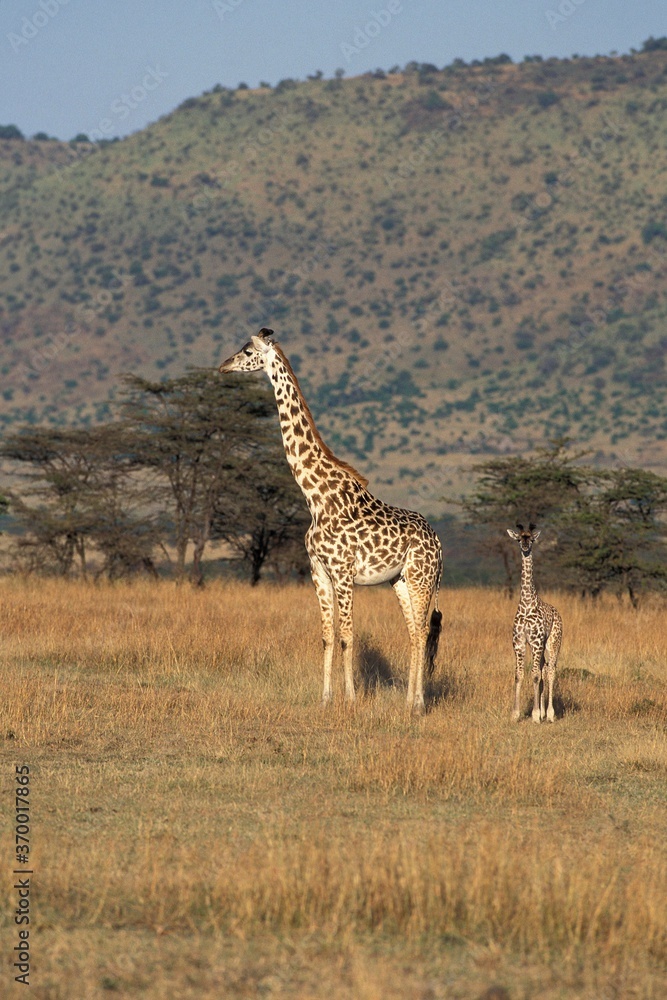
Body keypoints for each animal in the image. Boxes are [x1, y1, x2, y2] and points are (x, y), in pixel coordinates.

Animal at [219, 328, 443, 712]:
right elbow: (326, 635)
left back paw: (419, 704)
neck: (315, 496)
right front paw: (325, 699)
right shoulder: (318, 571)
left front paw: (350, 699)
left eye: (247, 351)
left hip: (421, 578)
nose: (223, 366)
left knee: (424, 630)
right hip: (399, 580)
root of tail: (439, 541)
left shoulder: (343, 572)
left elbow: (347, 636)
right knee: (415, 632)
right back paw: (408, 703)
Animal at [506, 522, 562, 723]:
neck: (527, 604)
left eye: (531, 538)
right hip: (541, 647)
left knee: (551, 670)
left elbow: (535, 675)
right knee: (544, 669)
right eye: (518, 538)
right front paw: (515, 714)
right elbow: (519, 674)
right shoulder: (520, 642)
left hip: (553, 642)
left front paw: (535, 715)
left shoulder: (537, 643)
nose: (524, 547)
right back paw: (545, 712)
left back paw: (550, 714)